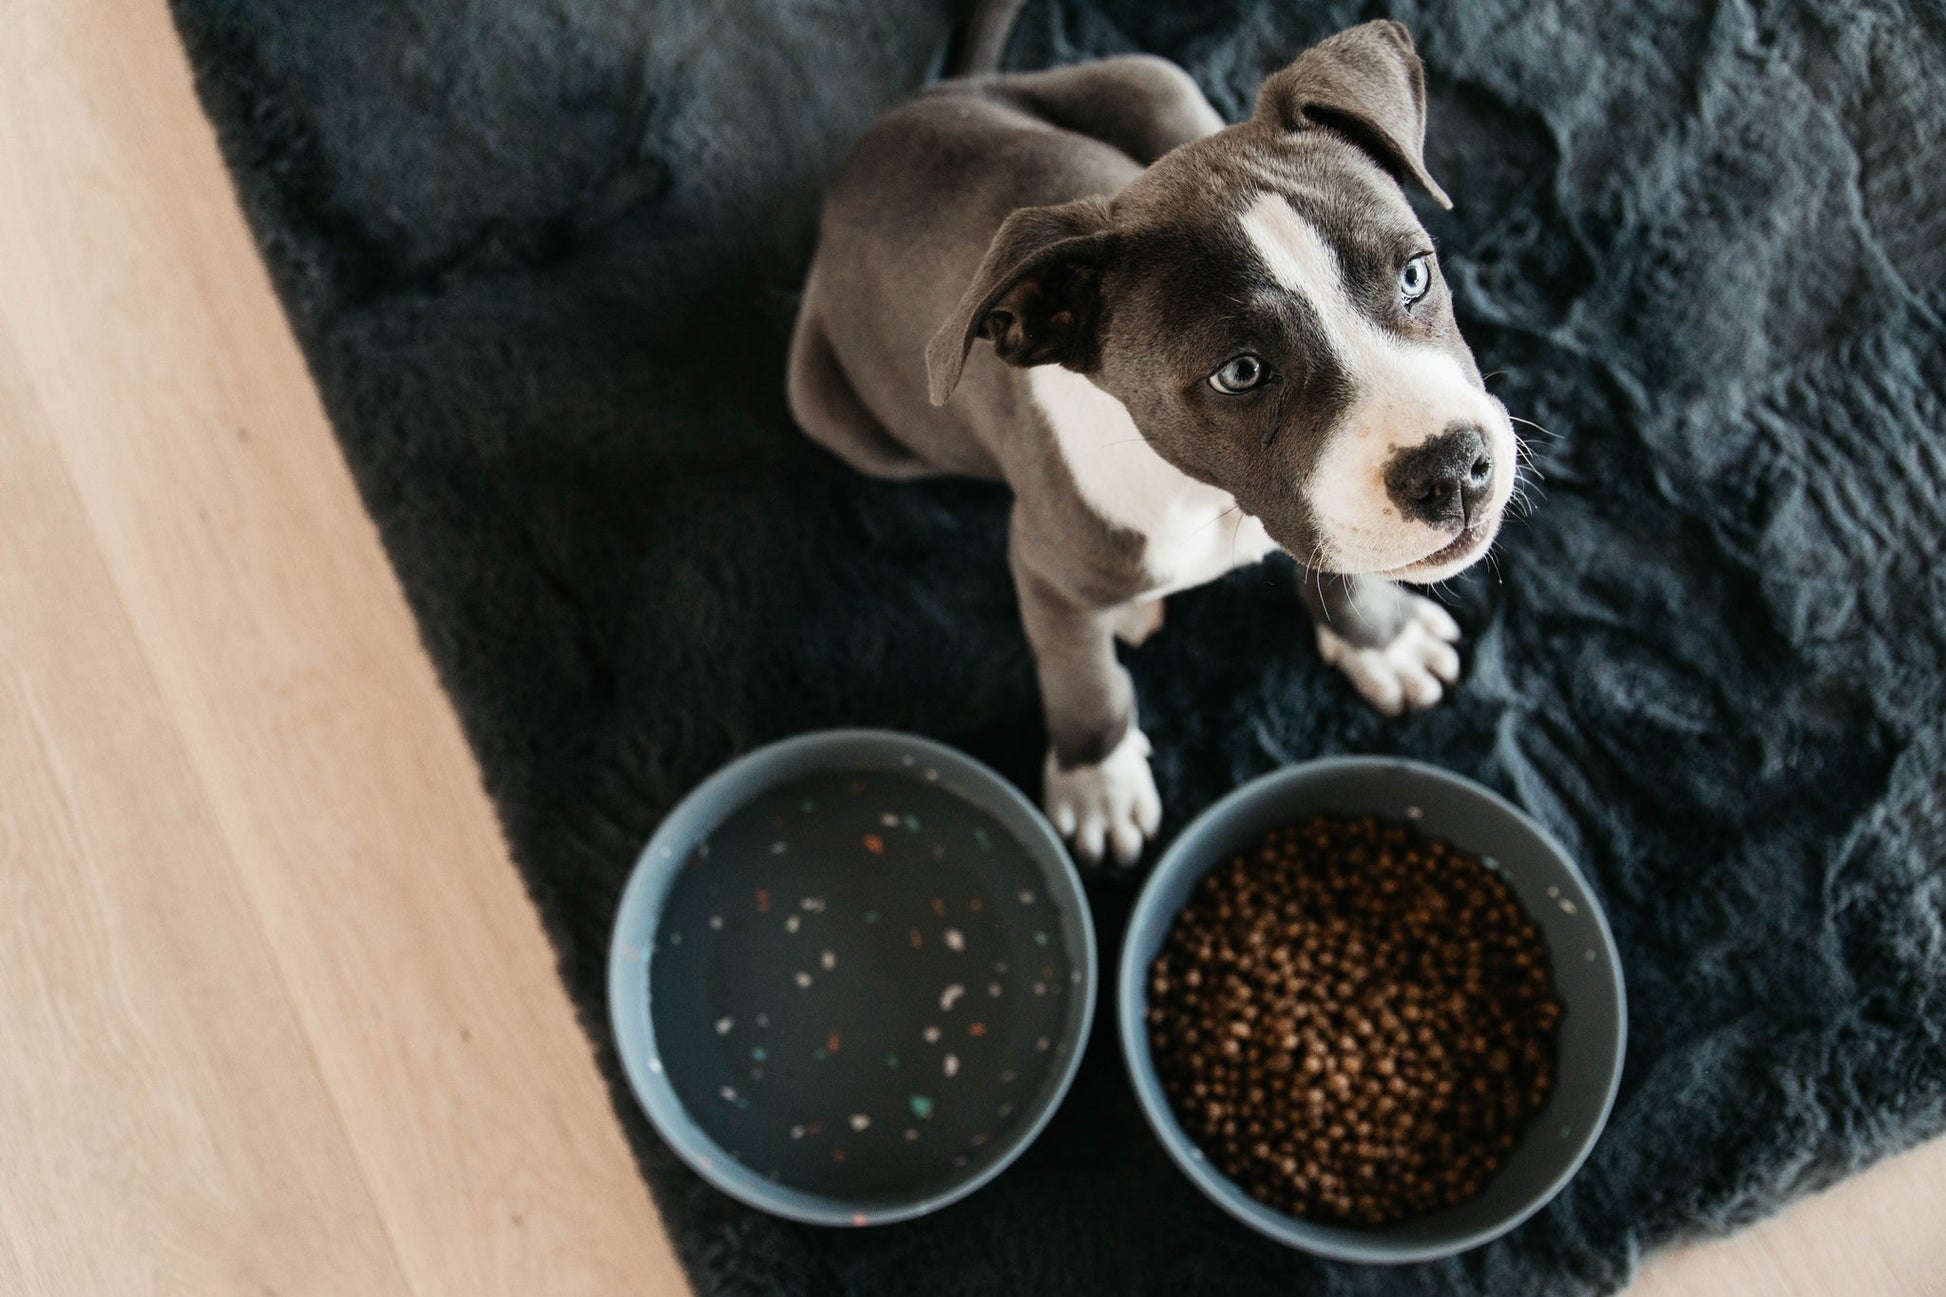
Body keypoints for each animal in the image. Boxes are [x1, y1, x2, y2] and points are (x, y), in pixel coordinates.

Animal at [790, 20, 1517, 864]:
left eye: (1414, 275)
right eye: (1240, 372)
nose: (1454, 469)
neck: (1205, 495)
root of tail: (920, 102)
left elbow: (1337, 562)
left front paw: (1382, 641)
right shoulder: (1040, 561)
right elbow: (1079, 673)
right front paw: (1098, 779)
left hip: (1157, 81)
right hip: (828, 406)